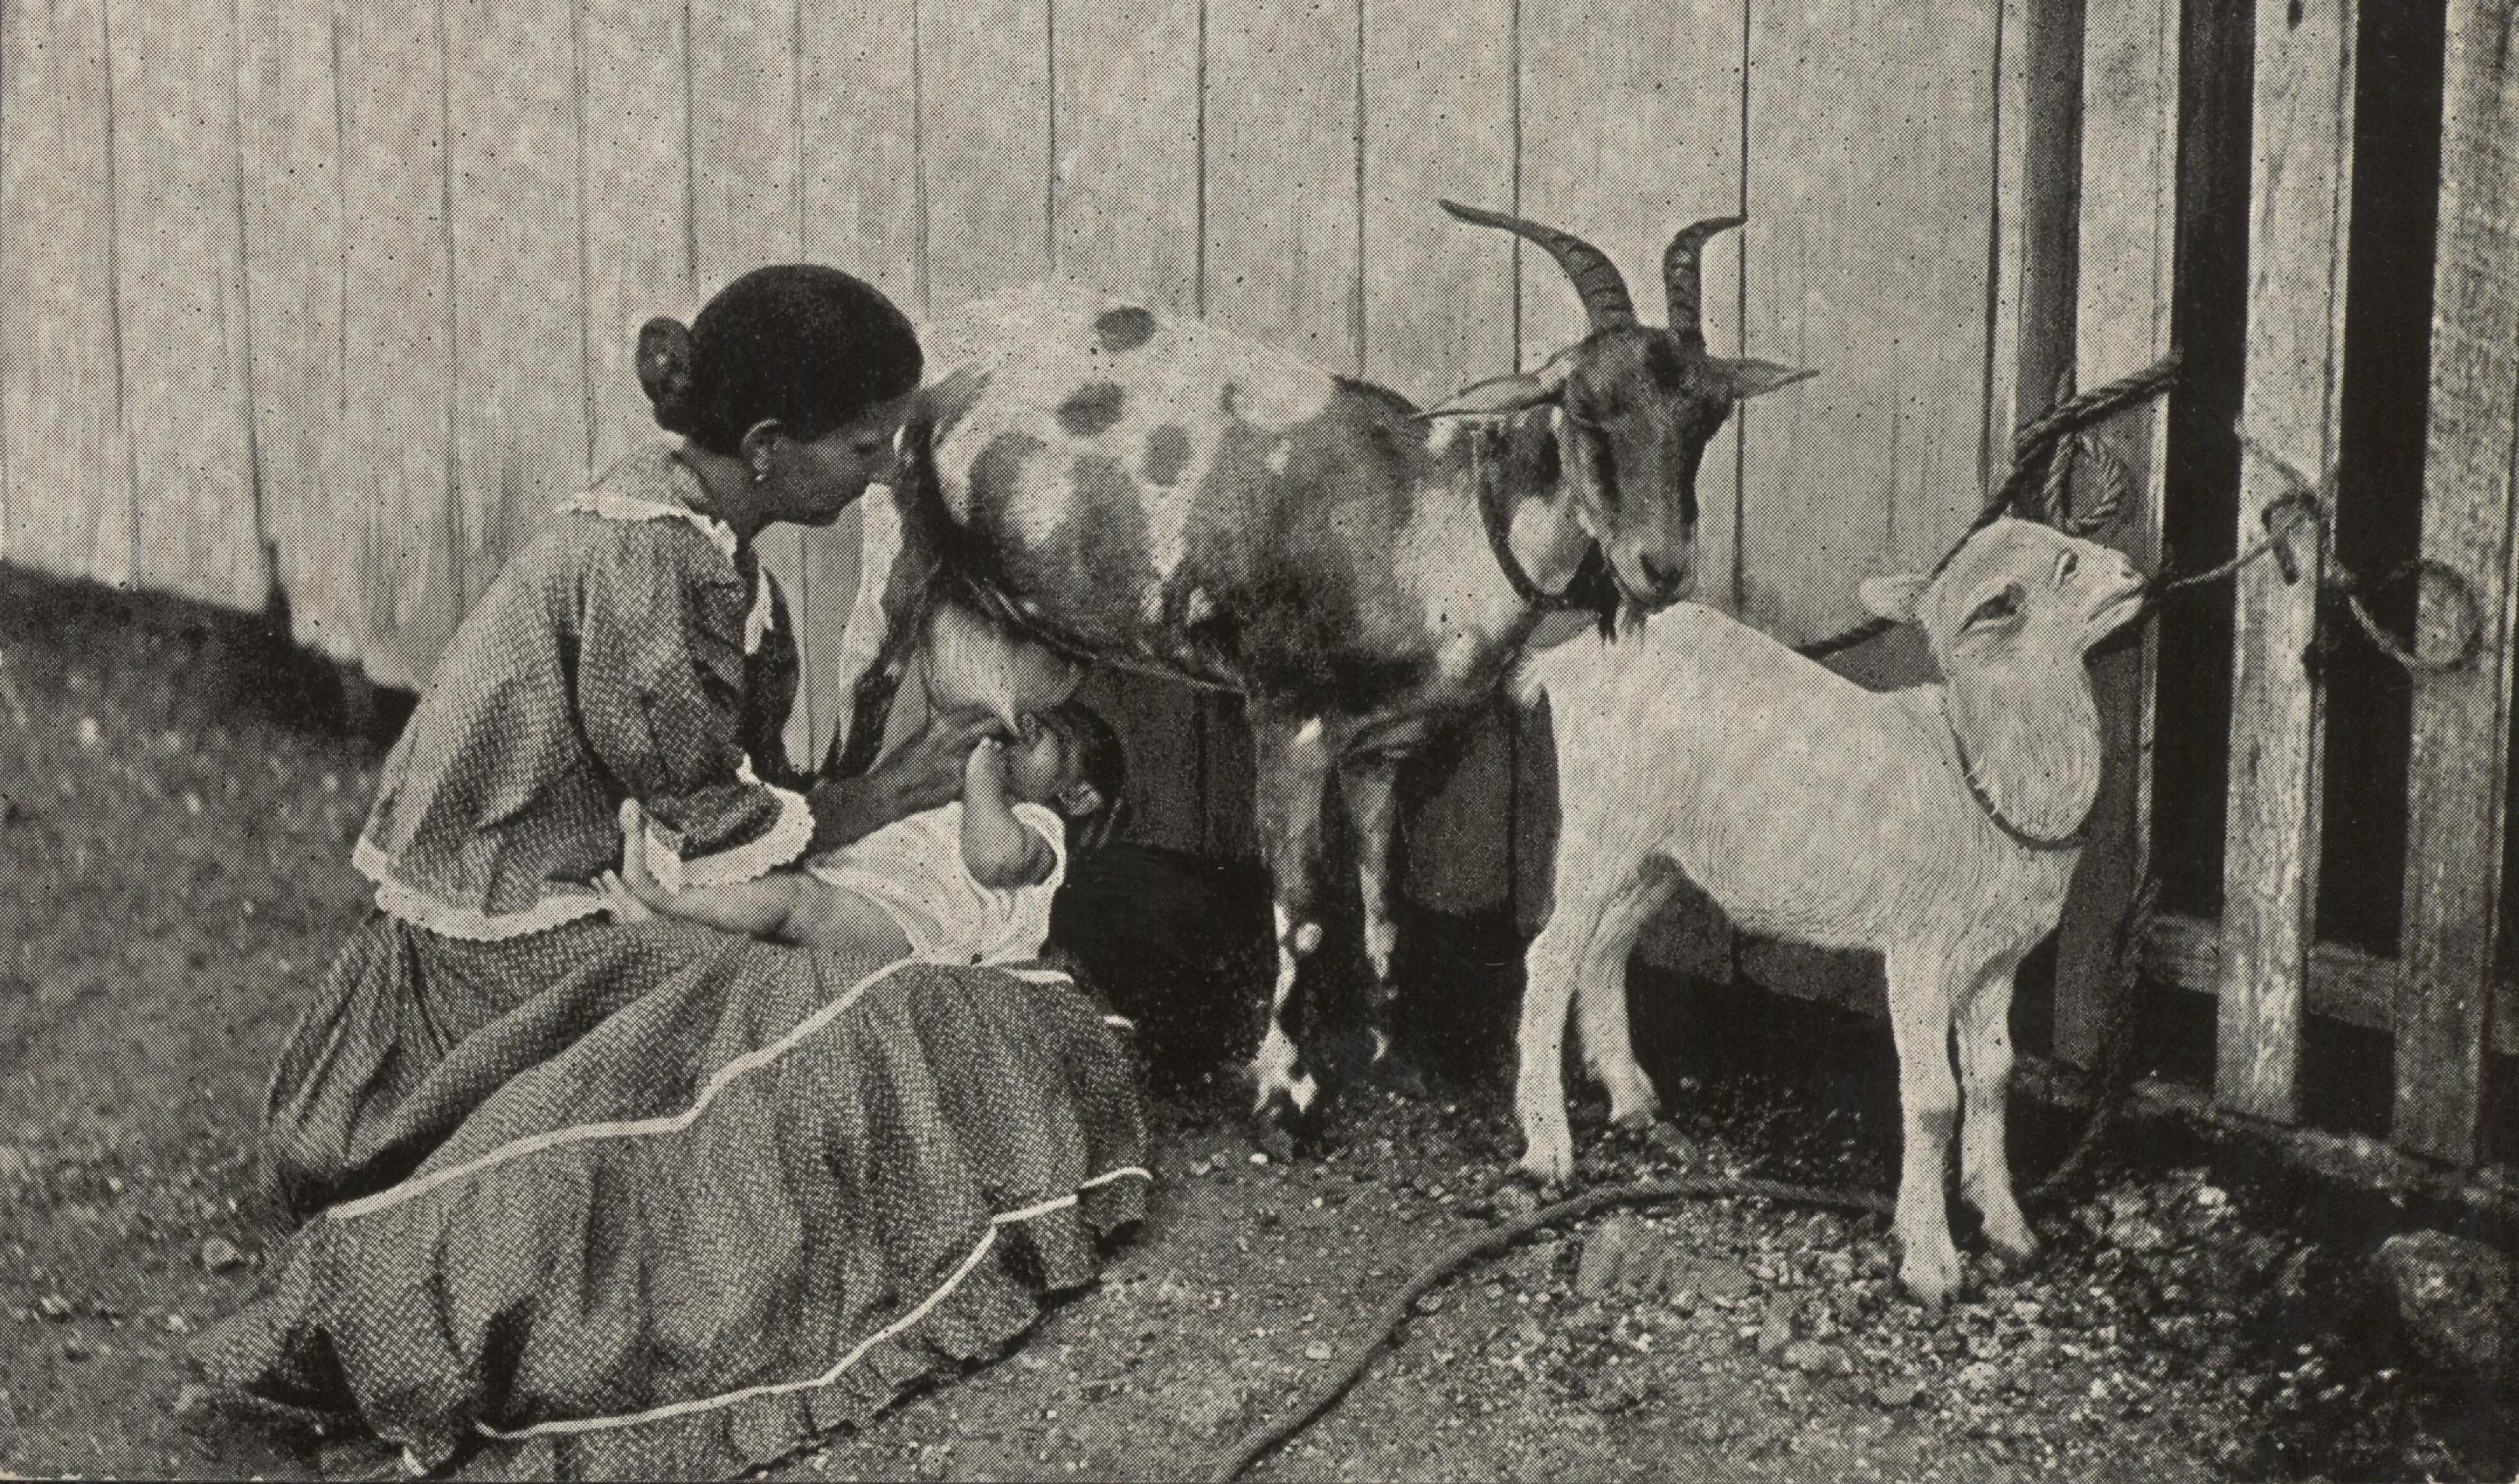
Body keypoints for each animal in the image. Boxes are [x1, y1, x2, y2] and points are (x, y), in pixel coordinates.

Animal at [826, 203, 1814, 1139]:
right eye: (1580, 402)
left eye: (1709, 410)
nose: (1661, 566)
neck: (1427, 521)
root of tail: (942, 335)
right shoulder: (1287, 719)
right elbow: (1301, 910)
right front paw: (1285, 1093)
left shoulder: (1384, 751)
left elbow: (1383, 896)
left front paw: (1389, 1053)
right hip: (894, 566)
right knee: (853, 734)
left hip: (1010, 642)